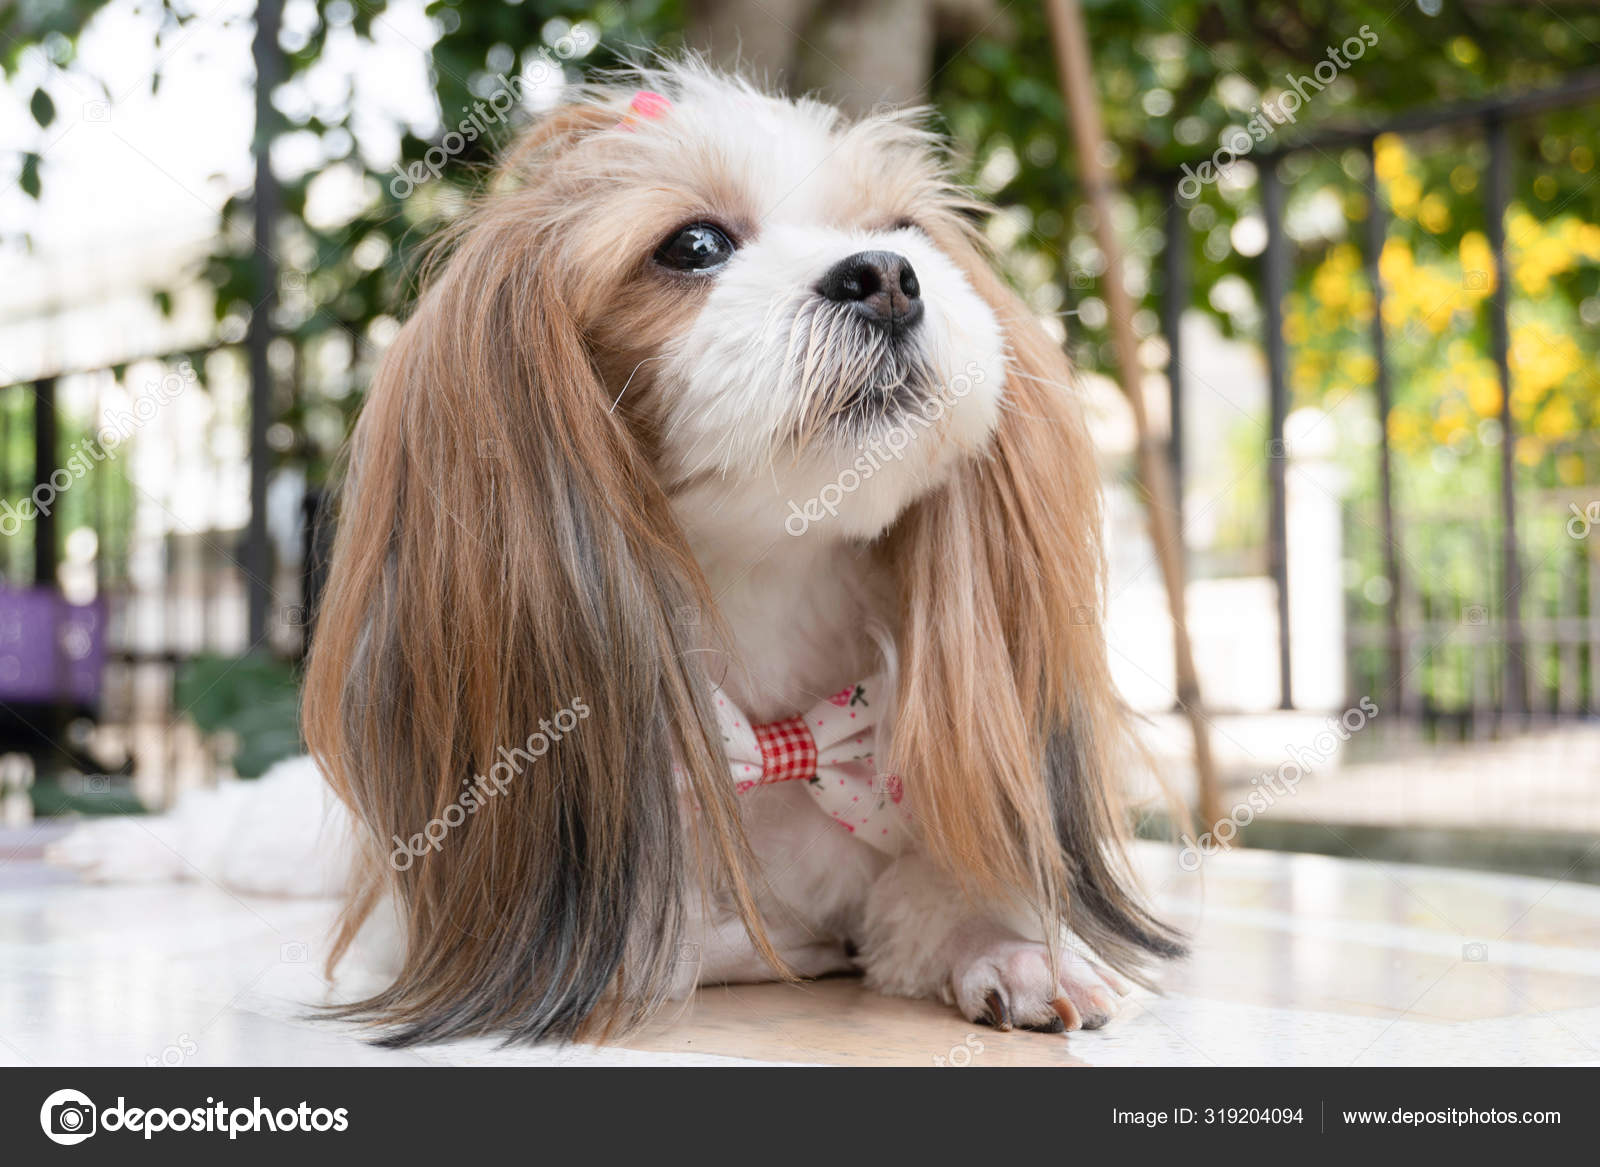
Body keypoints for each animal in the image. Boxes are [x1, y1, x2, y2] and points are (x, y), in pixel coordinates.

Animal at [53, 61, 1190, 1050]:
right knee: (219, 826)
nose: (886, 277)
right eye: (692, 245)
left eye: (904, 229)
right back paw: (114, 845)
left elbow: (929, 895)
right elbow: (673, 935)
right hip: (298, 837)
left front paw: (1010, 945)